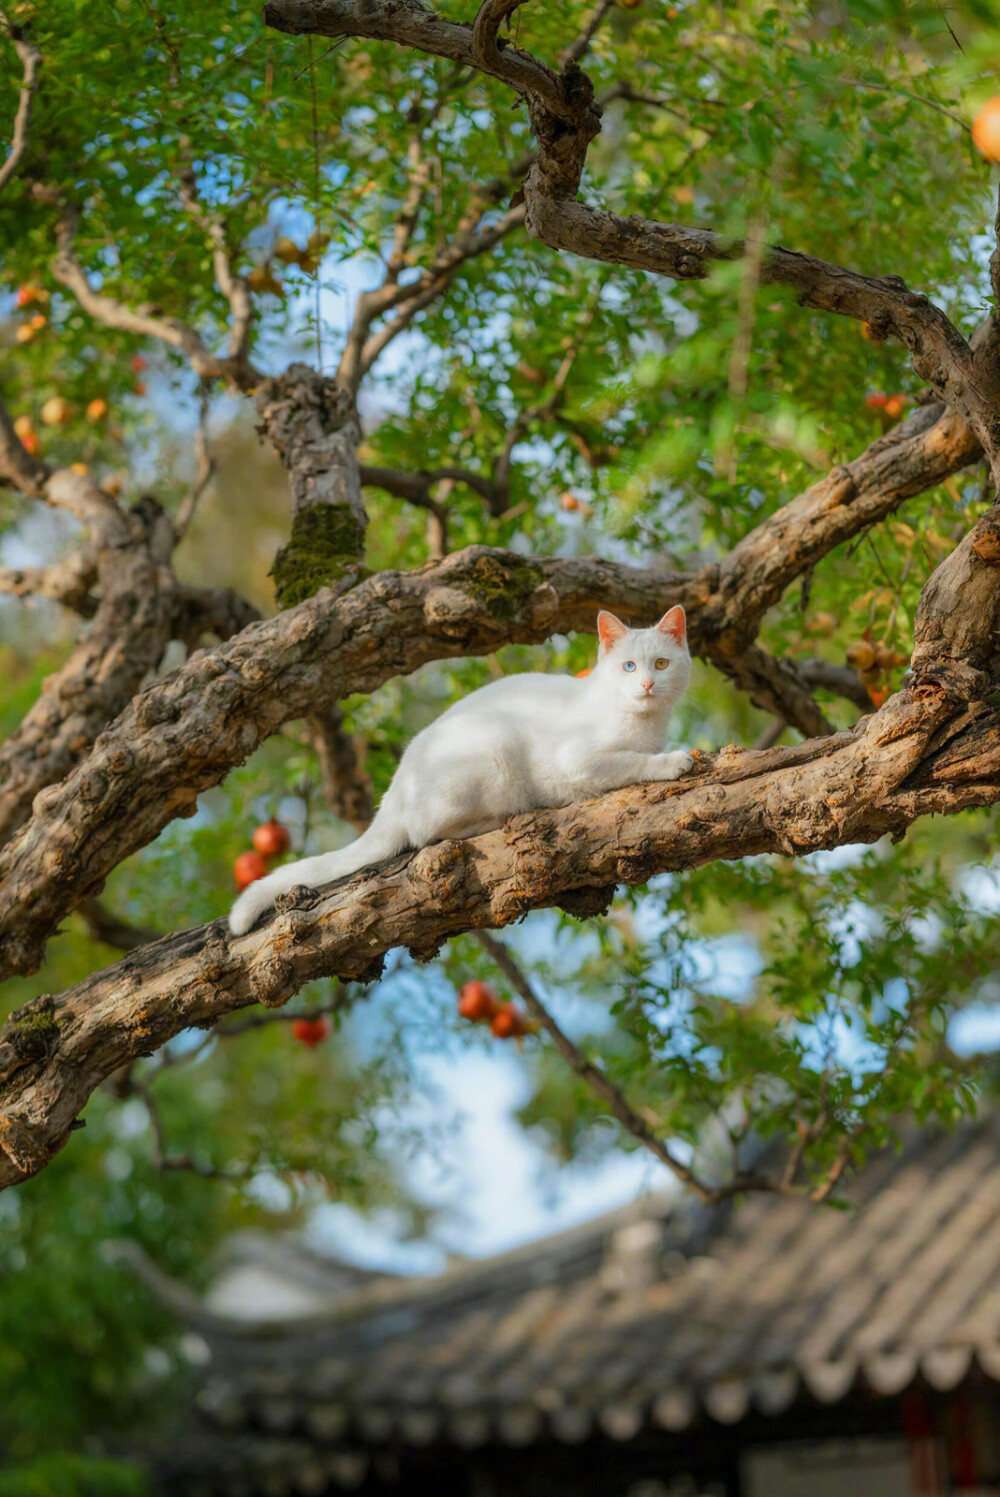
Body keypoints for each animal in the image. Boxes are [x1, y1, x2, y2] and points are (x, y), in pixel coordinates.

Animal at [229, 601, 691, 928]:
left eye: (661, 664)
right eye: (628, 667)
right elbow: (629, 763)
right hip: (493, 751)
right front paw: (672, 761)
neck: (644, 722)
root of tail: (394, 793)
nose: (646, 684)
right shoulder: (577, 761)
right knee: (425, 833)